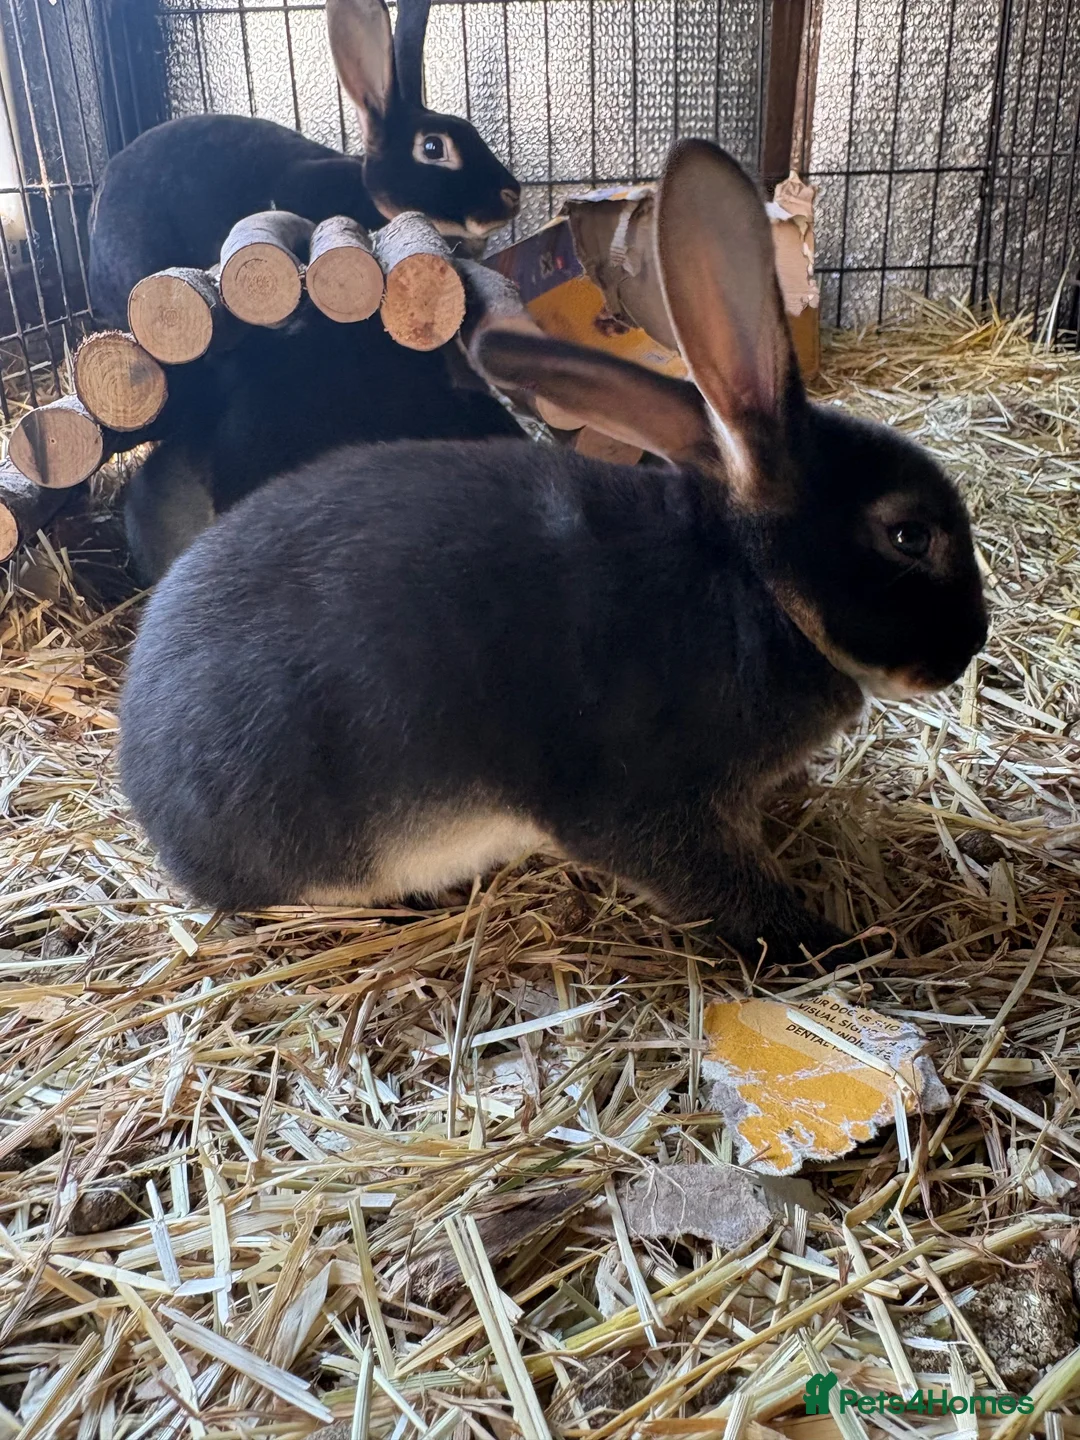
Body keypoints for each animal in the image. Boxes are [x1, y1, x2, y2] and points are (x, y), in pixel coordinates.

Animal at [119, 138, 988, 969]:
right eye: (910, 535)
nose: (968, 648)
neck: (756, 586)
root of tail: (150, 798)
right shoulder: (647, 801)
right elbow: (722, 887)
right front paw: (836, 945)